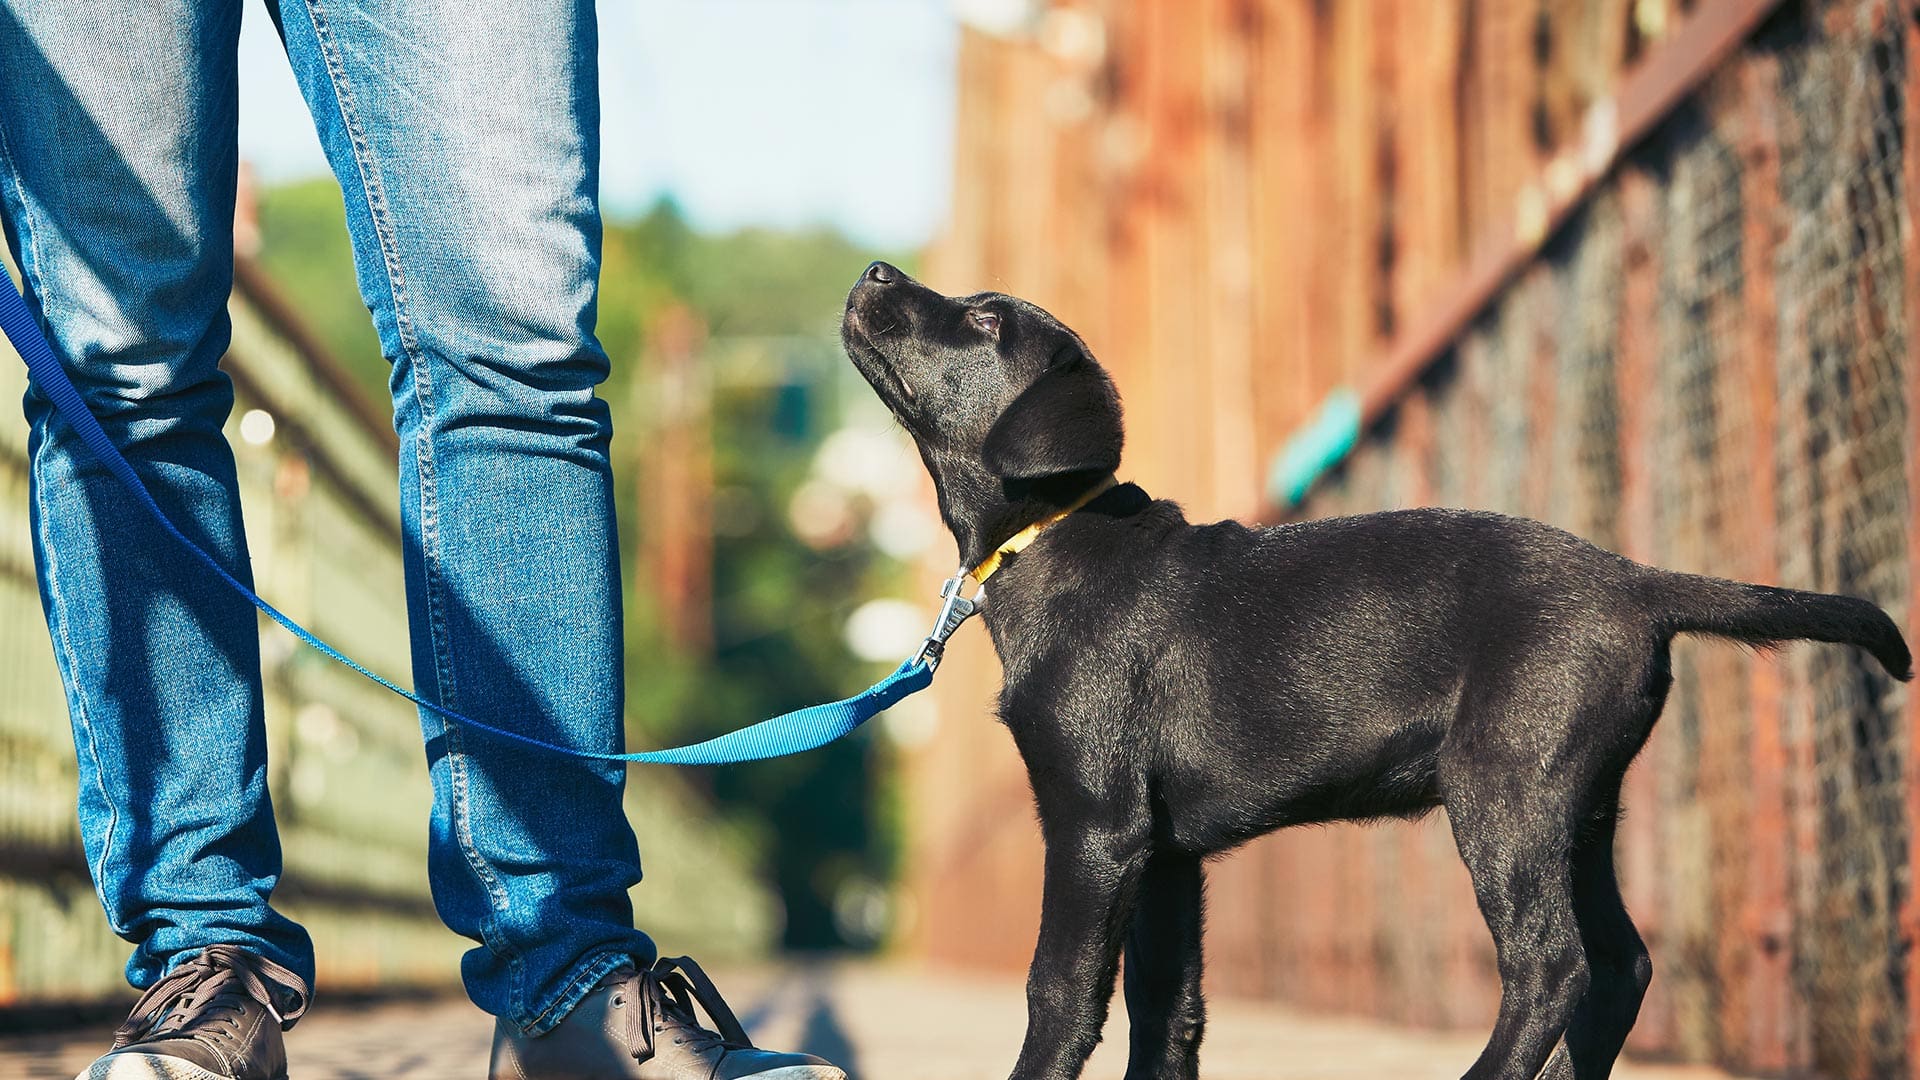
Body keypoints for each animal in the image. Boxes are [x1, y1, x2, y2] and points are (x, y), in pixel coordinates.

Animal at [837, 261, 1904, 1076]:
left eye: (984, 321)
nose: (876, 271)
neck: (1050, 537)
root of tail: (1638, 583)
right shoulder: (1166, 853)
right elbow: (1167, 1012)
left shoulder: (1095, 824)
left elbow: (1060, 992)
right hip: (1581, 804)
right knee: (1621, 966)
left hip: (1505, 788)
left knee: (1553, 966)